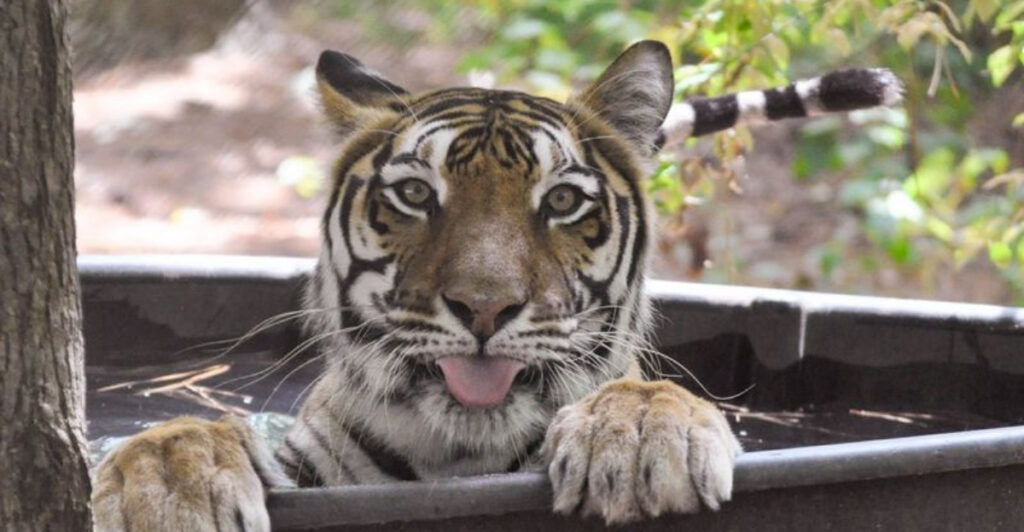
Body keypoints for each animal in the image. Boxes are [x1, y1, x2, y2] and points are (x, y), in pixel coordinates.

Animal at [92, 40, 902, 530]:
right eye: (416, 195)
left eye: (563, 201)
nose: (484, 308)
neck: (458, 456)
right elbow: (189, 432)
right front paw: (167, 482)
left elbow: (642, 393)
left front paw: (641, 436)